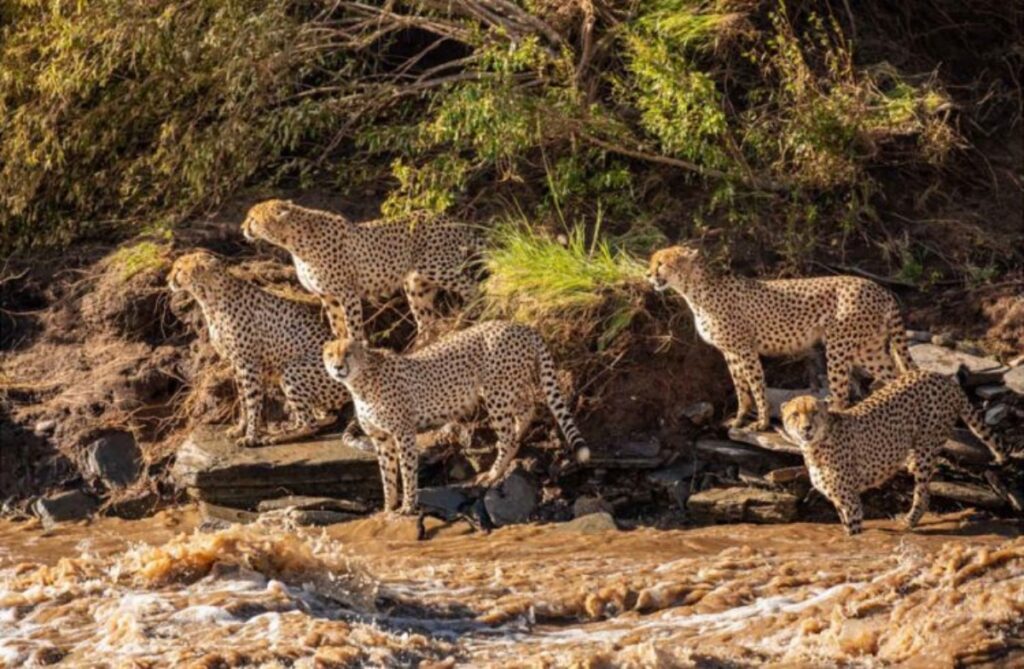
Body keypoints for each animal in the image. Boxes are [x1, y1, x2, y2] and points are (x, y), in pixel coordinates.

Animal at [171, 253, 352, 446]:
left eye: (179, 269)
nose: (169, 279)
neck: (209, 296)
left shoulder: (248, 363)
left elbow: (252, 401)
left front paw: (251, 437)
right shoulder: (236, 363)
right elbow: (243, 399)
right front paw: (240, 429)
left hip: (292, 370)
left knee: (310, 425)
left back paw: (278, 437)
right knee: (314, 418)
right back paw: (284, 429)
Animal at [241, 198, 481, 342]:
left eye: (252, 218)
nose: (243, 228)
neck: (293, 242)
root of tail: (446, 217)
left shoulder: (347, 293)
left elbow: (353, 326)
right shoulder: (327, 296)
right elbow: (338, 326)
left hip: (437, 267)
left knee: (472, 287)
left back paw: (469, 317)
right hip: (416, 285)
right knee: (426, 319)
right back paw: (420, 346)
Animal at [319, 321, 593, 514]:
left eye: (348, 353)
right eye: (331, 355)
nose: (338, 367)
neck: (361, 381)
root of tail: (519, 325)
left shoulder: (403, 433)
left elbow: (407, 471)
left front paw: (408, 506)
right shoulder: (381, 438)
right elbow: (387, 474)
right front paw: (388, 507)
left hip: (497, 394)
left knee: (508, 437)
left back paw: (494, 473)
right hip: (508, 389)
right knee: (528, 408)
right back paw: (518, 436)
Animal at [647, 243, 913, 428]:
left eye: (660, 263)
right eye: (653, 263)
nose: (648, 275)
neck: (696, 291)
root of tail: (879, 288)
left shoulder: (745, 349)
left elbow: (756, 385)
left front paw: (762, 423)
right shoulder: (730, 351)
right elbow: (740, 387)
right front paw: (739, 419)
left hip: (839, 347)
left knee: (841, 394)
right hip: (868, 349)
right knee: (895, 376)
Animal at [778, 368, 1003, 536]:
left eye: (815, 413)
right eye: (795, 414)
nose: (807, 428)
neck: (814, 446)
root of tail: (941, 376)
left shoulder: (849, 500)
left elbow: (853, 531)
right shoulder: (838, 499)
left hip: (926, 448)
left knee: (923, 493)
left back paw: (909, 521)